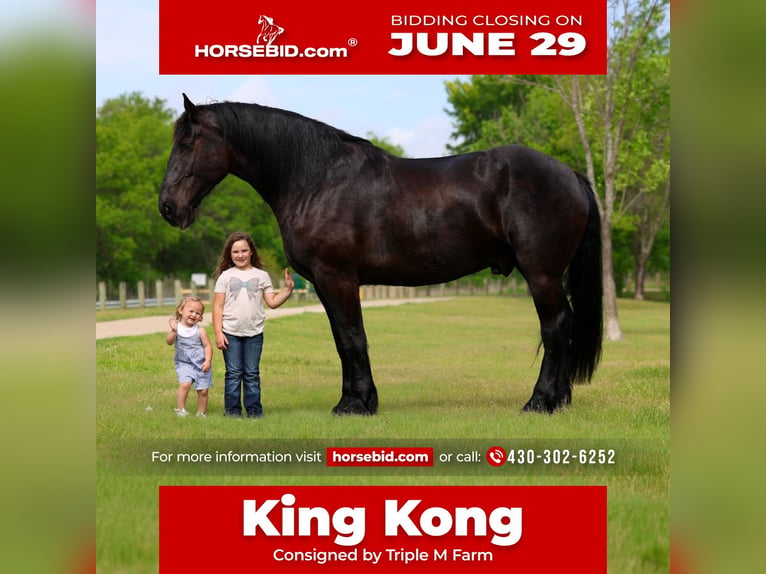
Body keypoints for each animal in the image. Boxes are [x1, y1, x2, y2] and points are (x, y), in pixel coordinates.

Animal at [159, 94, 603, 415]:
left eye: (188, 143)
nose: (167, 207)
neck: (317, 179)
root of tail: (569, 174)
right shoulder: (325, 283)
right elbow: (342, 340)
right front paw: (352, 399)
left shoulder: (337, 277)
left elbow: (352, 338)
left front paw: (357, 404)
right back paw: (559, 400)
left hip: (541, 273)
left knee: (555, 326)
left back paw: (541, 401)